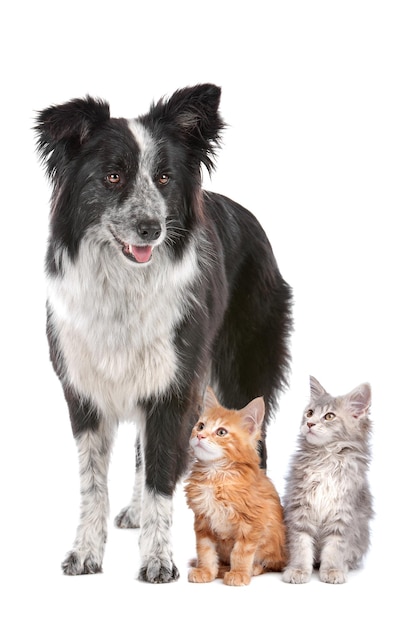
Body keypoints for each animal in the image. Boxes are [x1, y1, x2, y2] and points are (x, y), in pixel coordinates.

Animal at [184, 386, 286, 584]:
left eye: (221, 432)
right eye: (201, 426)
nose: (199, 435)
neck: (216, 475)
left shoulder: (251, 523)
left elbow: (241, 552)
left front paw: (239, 573)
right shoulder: (203, 521)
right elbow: (205, 551)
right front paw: (206, 571)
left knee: (270, 564)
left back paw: (251, 569)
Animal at [282, 372, 372, 584]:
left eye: (329, 416)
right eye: (309, 413)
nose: (309, 423)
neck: (326, 458)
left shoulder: (344, 512)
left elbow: (335, 548)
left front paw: (332, 570)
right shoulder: (300, 507)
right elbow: (300, 543)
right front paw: (298, 570)